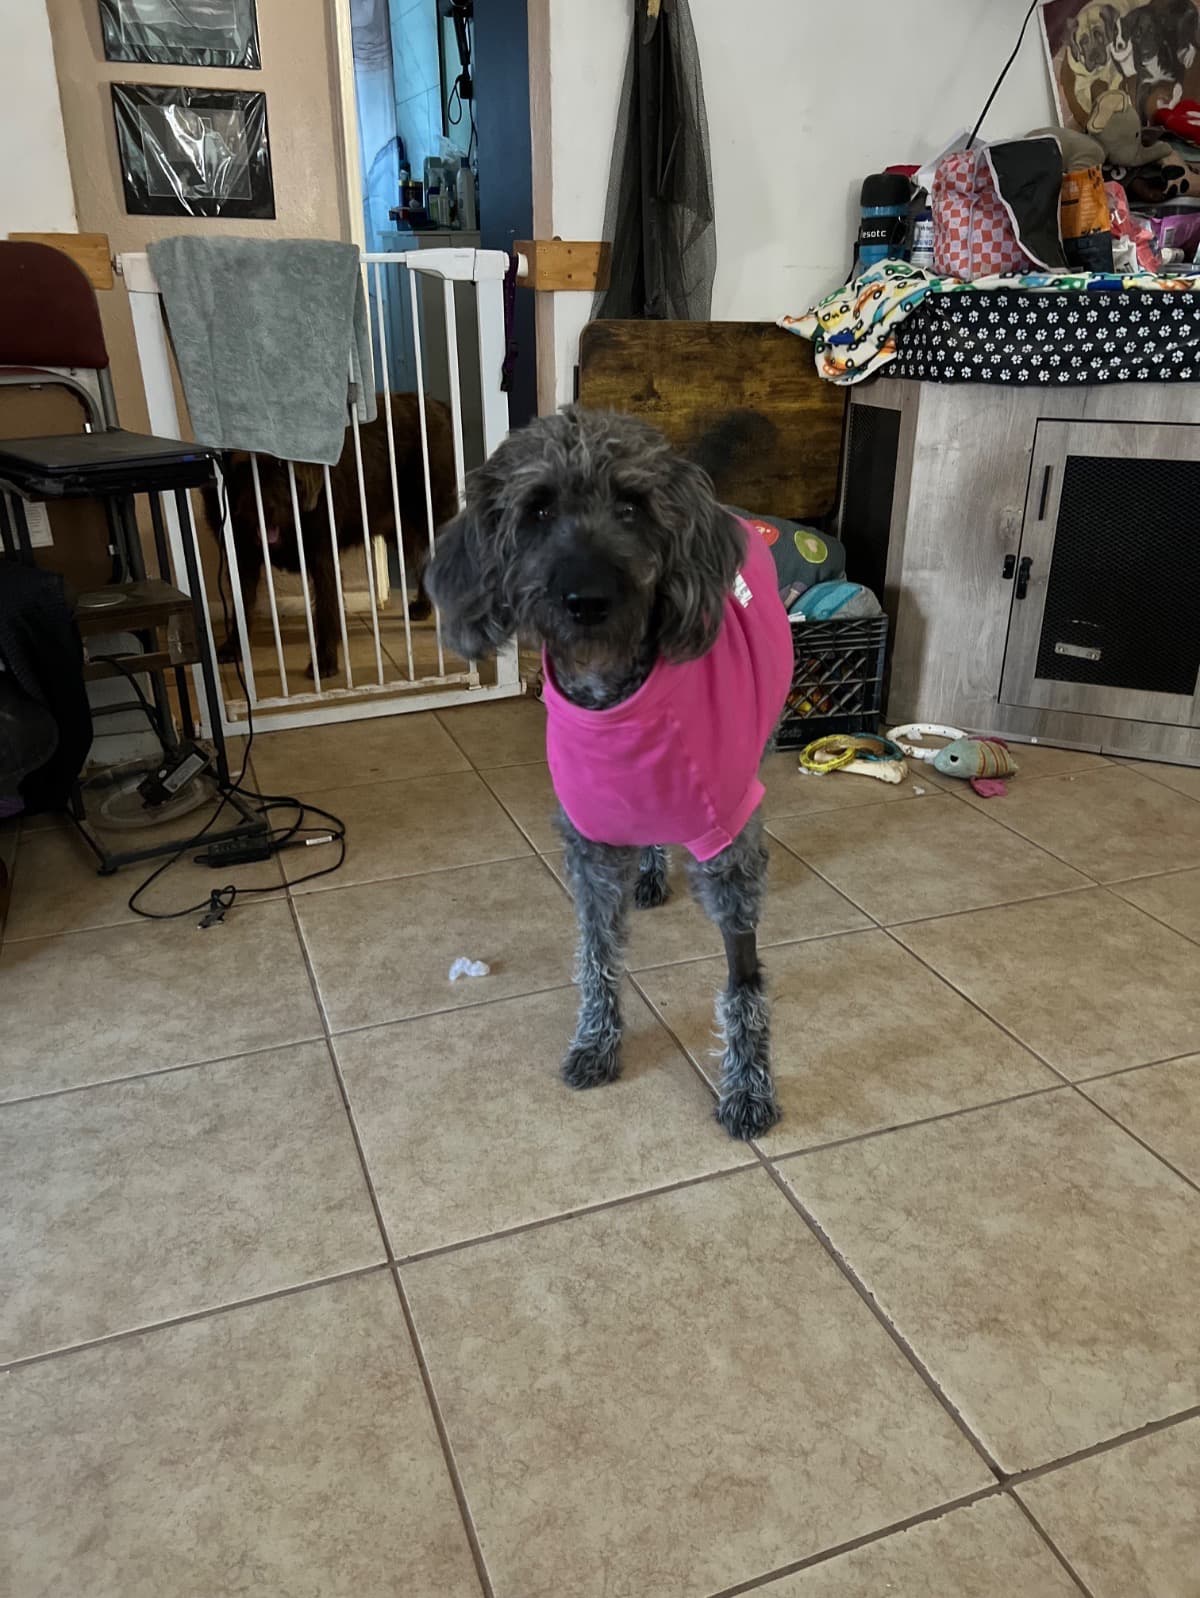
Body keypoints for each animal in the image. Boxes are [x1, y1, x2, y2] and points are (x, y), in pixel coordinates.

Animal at [205, 393, 458, 679]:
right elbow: (242, 606)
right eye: (243, 467)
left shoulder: (322, 557)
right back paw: (424, 606)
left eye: (281, 464)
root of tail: (437, 404)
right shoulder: (242, 561)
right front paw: (234, 647)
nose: (264, 512)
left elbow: (326, 610)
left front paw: (325, 659)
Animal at [426, 406, 794, 1140]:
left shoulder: (726, 855)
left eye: (632, 506)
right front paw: (597, 1042)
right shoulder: (591, 848)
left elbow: (742, 984)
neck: (613, 698)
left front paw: (748, 1085)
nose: (587, 599)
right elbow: (597, 959)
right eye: (538, 510)